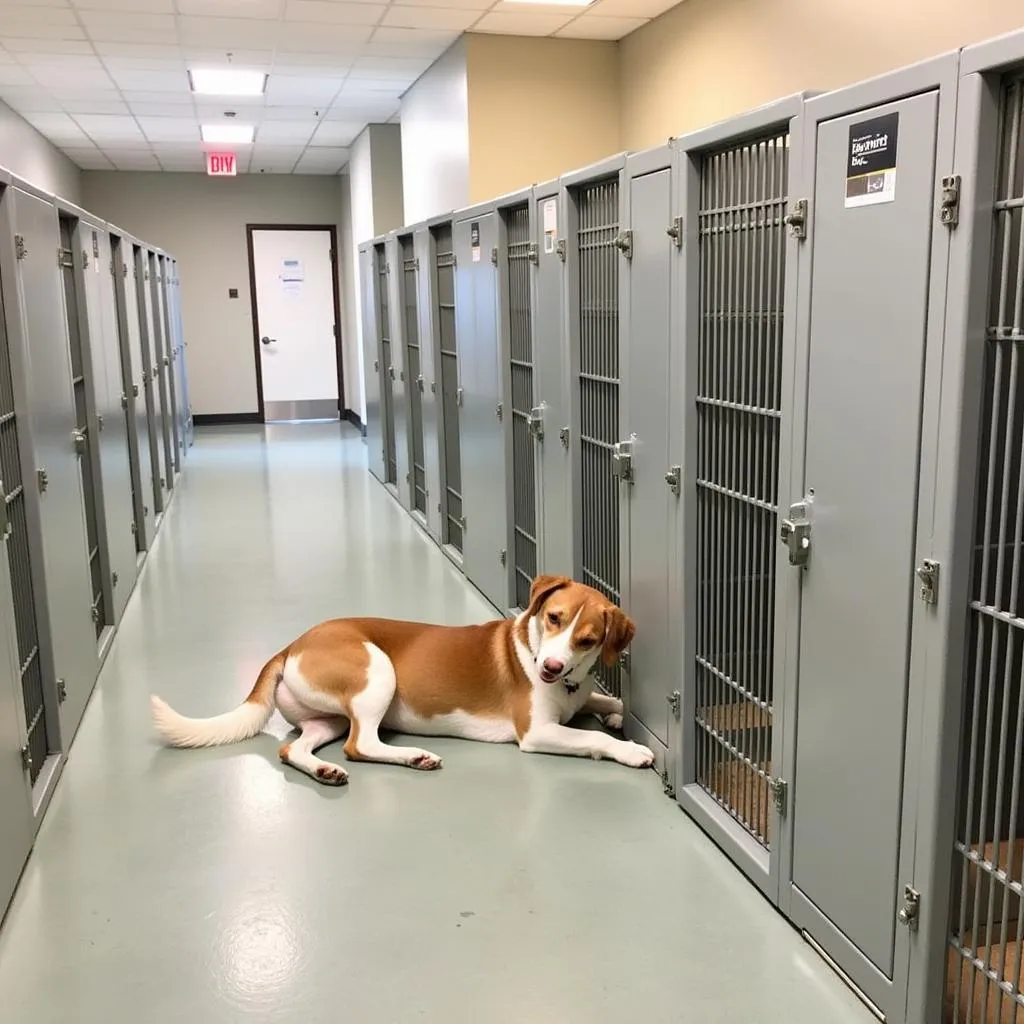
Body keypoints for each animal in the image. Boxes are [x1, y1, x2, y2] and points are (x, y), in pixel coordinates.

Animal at [151, 577, 655, 782]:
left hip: (325, 719)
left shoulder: (578, 693)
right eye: (553, 618)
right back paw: (414, 757)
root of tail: (292, 644)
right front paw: (631, 749)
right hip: (378, 671)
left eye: (587, 640)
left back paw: (324, 771)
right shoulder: (536, 732)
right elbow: (595, 739)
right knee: (361, 745)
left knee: (294, 749)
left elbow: (608, 703)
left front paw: (614, 716)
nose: (548, 668)